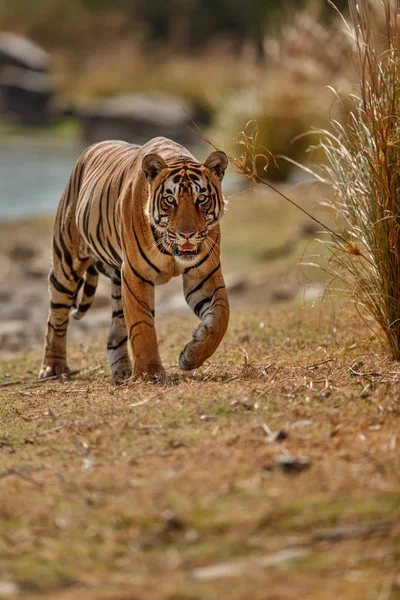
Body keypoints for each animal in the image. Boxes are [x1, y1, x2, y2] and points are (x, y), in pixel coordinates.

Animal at [40, 136, 230, 380]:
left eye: (202, 199)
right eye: (170, 200)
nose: (187, 234)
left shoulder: (204, 275)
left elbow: (221, 316)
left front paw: (191, 356)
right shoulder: (135, 274)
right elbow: (142, 326)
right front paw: (150, 373)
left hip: (116, 282)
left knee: (114, 332)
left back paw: (121, 371)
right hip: (66, 261)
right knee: (56, 316)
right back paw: (53, 367)